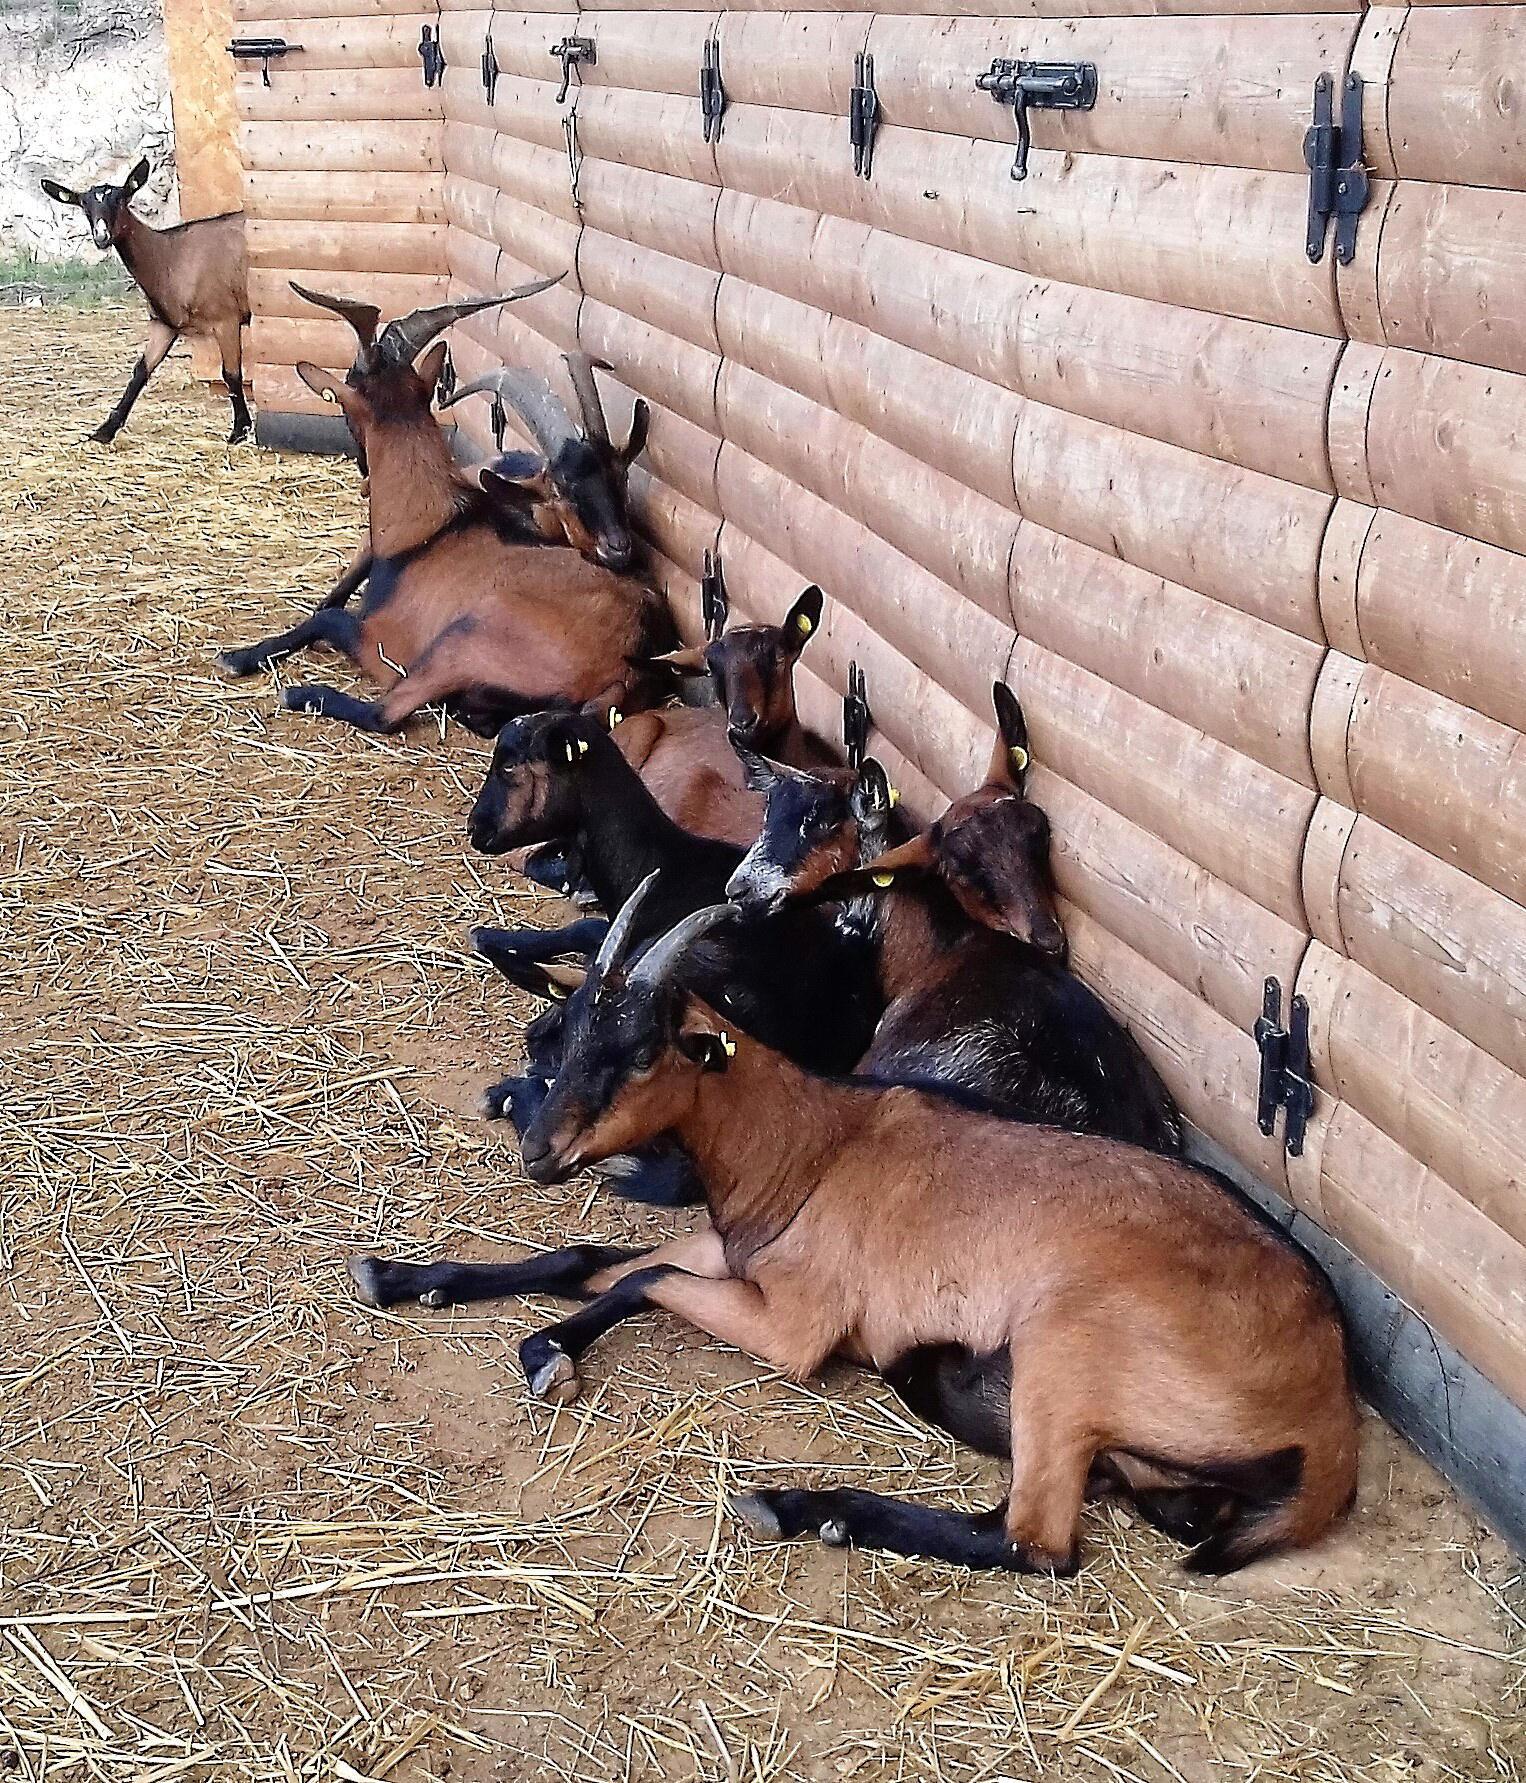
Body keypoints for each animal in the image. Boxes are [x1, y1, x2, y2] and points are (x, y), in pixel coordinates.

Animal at [41, 158, 251, 444]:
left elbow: (231, 374)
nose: (102, 236)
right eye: (84, 205)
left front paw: (240, 431)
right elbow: (140, 372)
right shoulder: (163, 325)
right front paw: (104, 431)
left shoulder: (225, 319)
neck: (170, 258)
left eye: (121, 199)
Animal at [217, 284, 674, 735]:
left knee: (387, 712)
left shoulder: (383, 642)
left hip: (464, 637)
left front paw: (239, 657)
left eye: (347, 394)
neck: (430, 526)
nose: (363, 471)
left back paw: (302, 694)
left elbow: (328, 620)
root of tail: (630, 666)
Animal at [357, 881, 1357, 1578]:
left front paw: (548, 1351)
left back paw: (806, 1508)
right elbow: (593, 1260)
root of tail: (1329, 1413)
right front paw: (414, 1281)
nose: (539, 1149)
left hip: (1064, 1348)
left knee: (1034, 1541)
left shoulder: (795, 1319)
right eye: (564, 1038)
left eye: (641, 1051)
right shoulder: (730, 1246)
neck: (812, 1144)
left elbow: (645, 1279)